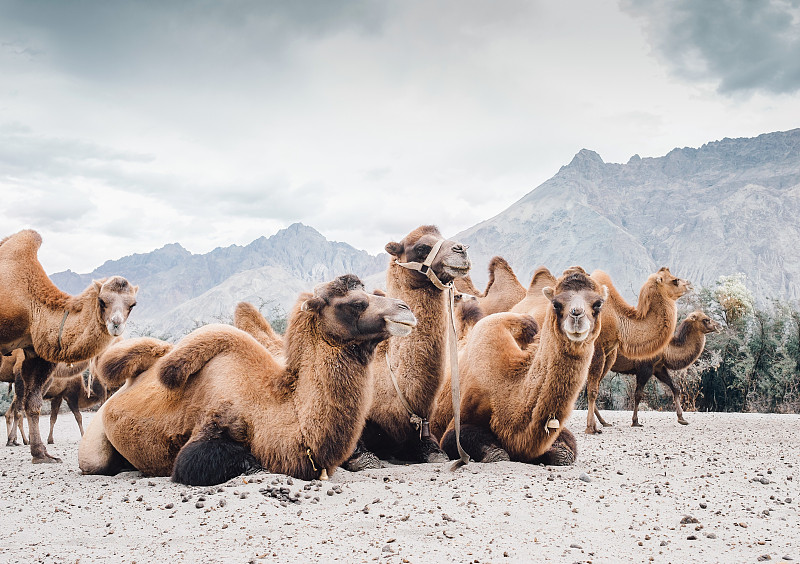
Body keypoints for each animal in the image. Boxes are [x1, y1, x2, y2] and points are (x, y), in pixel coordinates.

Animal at [0, 229, 137, 462]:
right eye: (102, 301)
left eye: (132, 304)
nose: (116, 324)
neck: (30, 305)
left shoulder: (35, 354)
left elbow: (33, 404)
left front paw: (41, 454)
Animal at [79, 276, 418, 486]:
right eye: (355, 303)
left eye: (373, 294)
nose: (407, 311)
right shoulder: (209, 430)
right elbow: (242, 461)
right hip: (93, 447)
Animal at [434, 270, 608, 464]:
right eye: (556, 303)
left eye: (598, 303)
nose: (576, 316)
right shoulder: (456, 426)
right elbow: (497, 454)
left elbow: (564, 454)